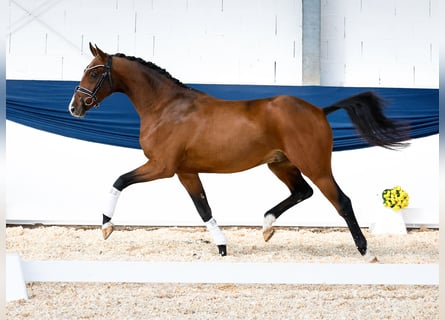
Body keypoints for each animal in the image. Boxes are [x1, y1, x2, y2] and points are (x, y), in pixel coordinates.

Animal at [68, 43, 406, 262]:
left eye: (94, 73)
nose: (75, 107)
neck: (166, 108)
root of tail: (319, 110)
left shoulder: (162, 166)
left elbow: (119, 180)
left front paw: (106, 228)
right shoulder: (185, 171)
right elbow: (203, 208)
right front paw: (222, 247)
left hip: (316, 166)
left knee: (341, 201)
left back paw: (366, 251)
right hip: (280, 164)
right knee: (302, 192)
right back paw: (267, 226)